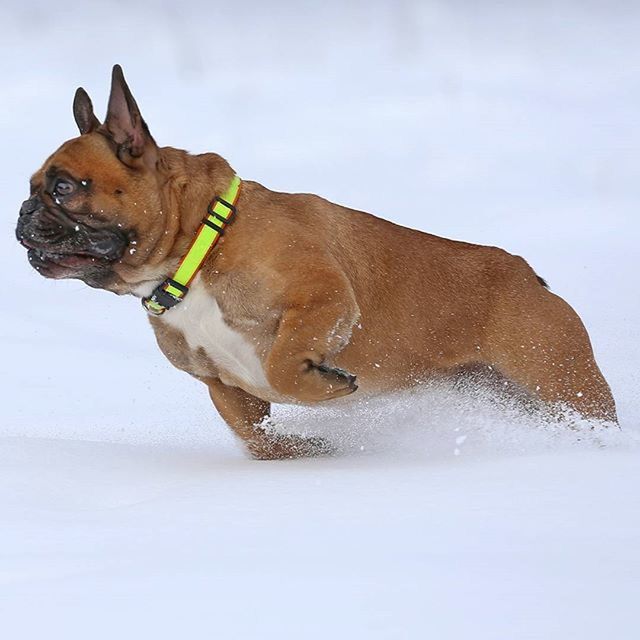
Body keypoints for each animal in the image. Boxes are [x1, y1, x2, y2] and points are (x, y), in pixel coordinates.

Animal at [13, 66, 616, 460]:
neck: (196, 251)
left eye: (63, 188)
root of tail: (528, 276)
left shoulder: (322, 295)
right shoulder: (219, 384)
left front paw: (324, 389)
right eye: (31, 188)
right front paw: (296, 453)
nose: (22, 213)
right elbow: (252, 433)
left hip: (559, 377)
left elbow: (284, 366)